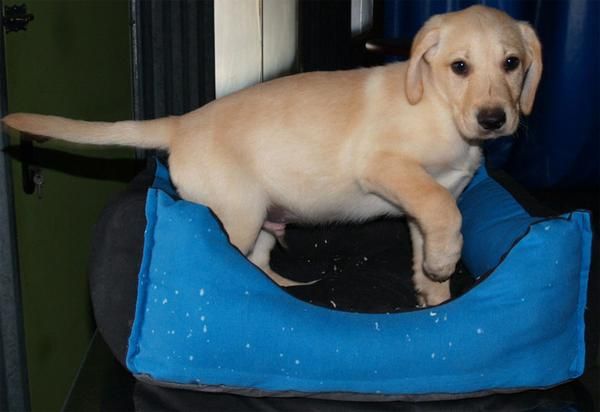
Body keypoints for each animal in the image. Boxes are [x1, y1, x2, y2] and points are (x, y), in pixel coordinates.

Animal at [4, 5, 540, 306]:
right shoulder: (387, 170)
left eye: (512, 63)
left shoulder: (419, 205)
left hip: (261, 218)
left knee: (259, 266)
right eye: (459, 67)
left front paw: (434, 292)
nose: (494, 120)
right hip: (238, 216)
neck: (438, 106)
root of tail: (181, 123)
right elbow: (446, 211)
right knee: (234, 262)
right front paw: (445, 264)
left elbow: (431, 227)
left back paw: (286, 290)